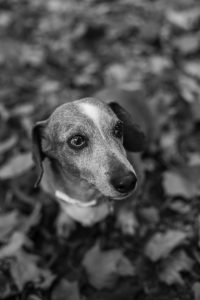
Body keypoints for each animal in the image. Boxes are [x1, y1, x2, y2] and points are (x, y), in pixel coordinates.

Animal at [32, 94, 146, 230]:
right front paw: (65, 220)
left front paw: (126, 221)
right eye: (77, 140)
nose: (128, 181)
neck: (85, 193)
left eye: (118, 128)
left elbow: (128, 206)